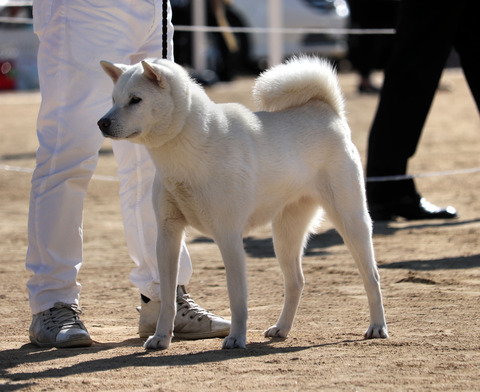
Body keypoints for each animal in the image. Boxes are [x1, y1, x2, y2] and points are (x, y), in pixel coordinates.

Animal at [98, 56, 390, 350]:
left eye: (135, 100)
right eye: (113, 99)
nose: (102, 123)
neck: (190, 149)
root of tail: (326, 110)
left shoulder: (228, 237)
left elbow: (237, 297)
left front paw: (236, 338)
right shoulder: (168, 235)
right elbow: (168, 298)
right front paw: (160, 337)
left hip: (351, 221)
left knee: (372, 277)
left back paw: (377, 327)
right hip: (285, 235)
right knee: (296, 282)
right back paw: (282, 328)